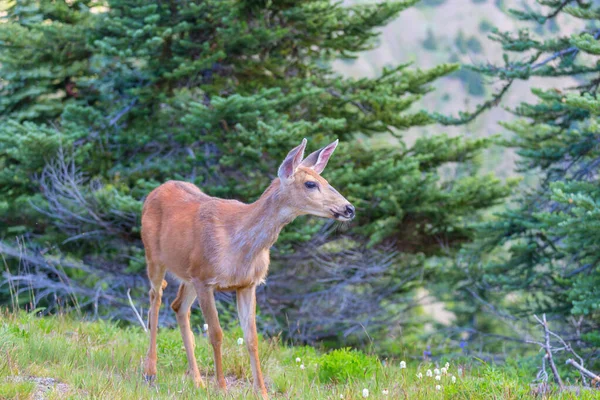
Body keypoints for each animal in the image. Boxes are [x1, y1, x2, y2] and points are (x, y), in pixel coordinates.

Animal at [139, 138, 356, 396]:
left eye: (327, 181)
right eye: (311, 183)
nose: (349, 208)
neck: (241, 245)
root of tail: (155, 190)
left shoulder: (247, 284)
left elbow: (252, 338)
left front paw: (261, 391)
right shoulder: (205, 279)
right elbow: (216, 334)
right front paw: (222, 387)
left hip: (188, 273)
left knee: (178, 306)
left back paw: (197, 380)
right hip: (155, 256)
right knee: (155, 298)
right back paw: (151, 372)